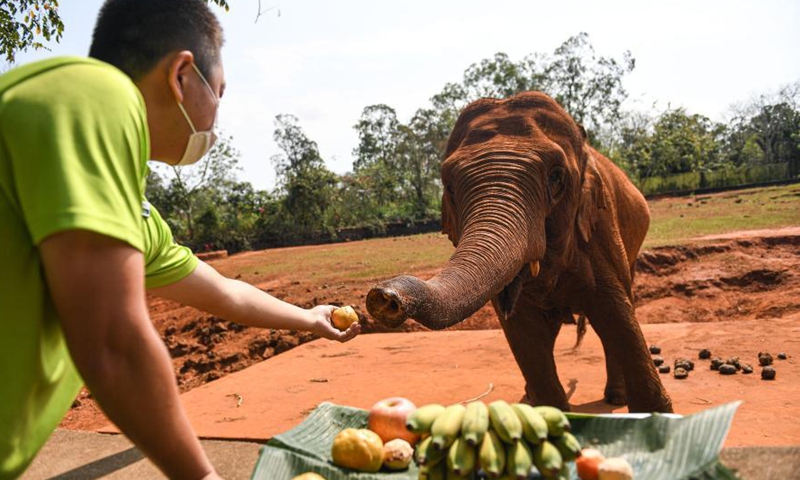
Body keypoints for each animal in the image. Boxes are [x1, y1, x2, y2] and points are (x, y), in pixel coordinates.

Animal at [366, 92, 673, 413]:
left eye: (556, 176)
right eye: (448, 186)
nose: (384, 297)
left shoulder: (598, 225)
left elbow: (614, 310)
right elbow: (523, 331)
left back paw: (615, 398)